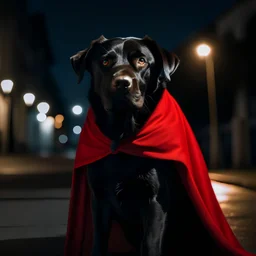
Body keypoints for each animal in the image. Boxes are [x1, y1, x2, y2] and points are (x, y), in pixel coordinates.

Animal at [71, 34, 180, 256]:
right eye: (105, 61)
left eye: (142, 61)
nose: (122, 83)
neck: (122, 136)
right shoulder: (99, 200)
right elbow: (99, 243)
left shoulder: (155, 201)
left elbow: (150, 245)